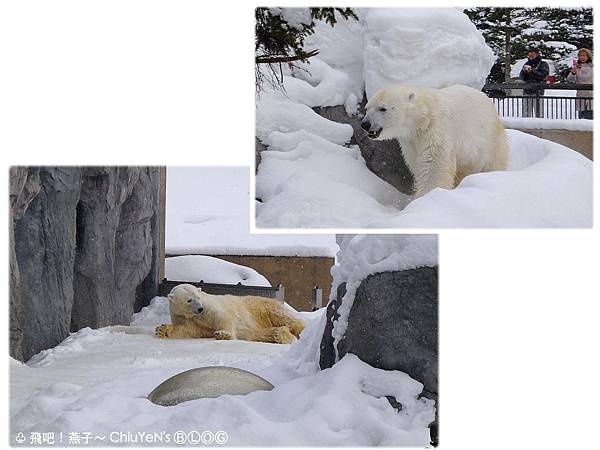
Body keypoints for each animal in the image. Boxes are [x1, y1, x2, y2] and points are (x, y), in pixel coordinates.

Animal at [155, 284, 304, 344]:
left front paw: (223, 334)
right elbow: (188, 330)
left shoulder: (209, 306)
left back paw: (299, 330)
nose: (200, 309)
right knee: (262, 333)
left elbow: (220, 316)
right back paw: (279, 335)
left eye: (198, 297)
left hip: (263, 307)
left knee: (282, 317)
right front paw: (162, 330)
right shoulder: (182, 316)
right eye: (189, 300)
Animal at [360, 84, 506, 197]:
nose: (365, 124)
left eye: (382, 108)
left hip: (489, 139)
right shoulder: (410, 141)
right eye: (367, 108)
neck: (423, 117)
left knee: (493, 163)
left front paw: (425, 197)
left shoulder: (436, 131)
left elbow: (433, 165)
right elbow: (418, 164)